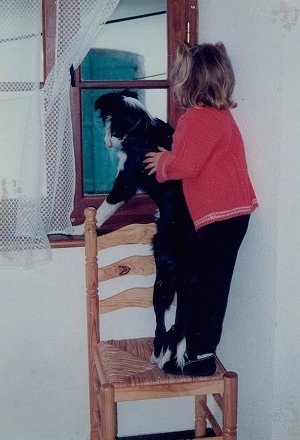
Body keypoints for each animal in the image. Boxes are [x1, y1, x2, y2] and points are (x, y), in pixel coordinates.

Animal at [72, 89, 197, 368]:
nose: (106, 143)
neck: (137, 126)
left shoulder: (126, 179)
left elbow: (104, 208)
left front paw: (77, 229)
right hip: (186, 286)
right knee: (180, 325)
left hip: (162, 280)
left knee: (162, 324)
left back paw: (157, 356)